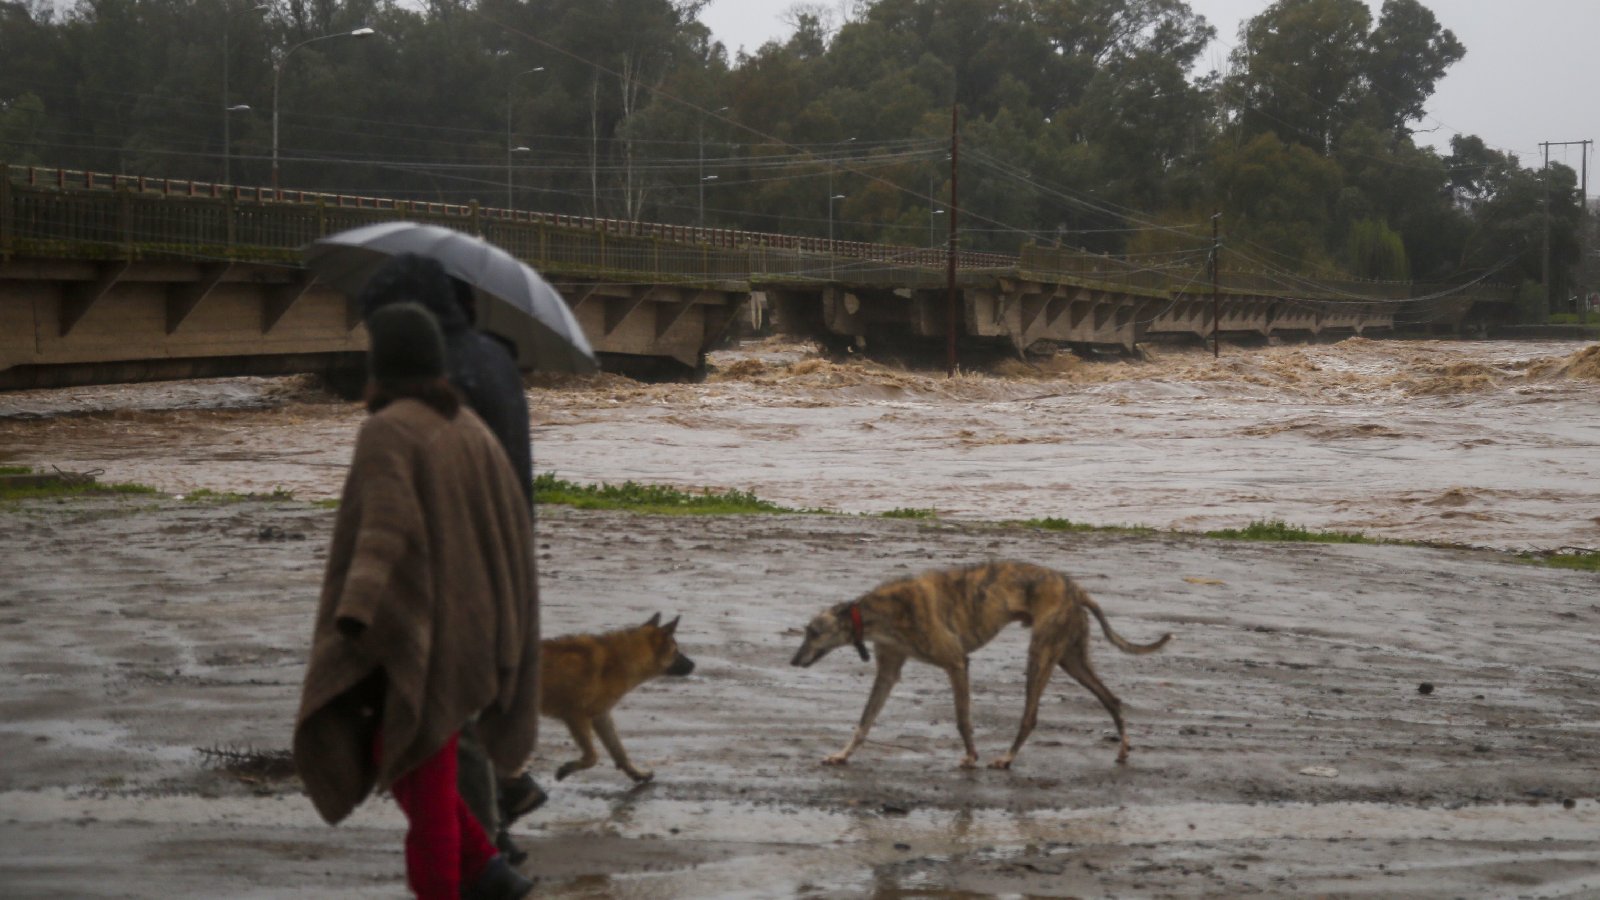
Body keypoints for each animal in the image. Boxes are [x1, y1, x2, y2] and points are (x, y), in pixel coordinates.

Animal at [540, 611, 691, 781]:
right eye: (676, 652)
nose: (693, 665)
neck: (620, 659)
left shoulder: (601, 716)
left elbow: (619, 751)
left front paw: (637, 773)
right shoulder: (576, 717)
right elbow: (593, 757)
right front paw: (567, 768)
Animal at [793, 560, 1171, 762]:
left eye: (813, 632)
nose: (794, 660)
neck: (877, 612)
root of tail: (1076, 589)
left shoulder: (957, 663)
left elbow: (963, 720)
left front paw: (972, 757)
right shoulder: (889, 670)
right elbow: (865, 720)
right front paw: (842, 755)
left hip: (1041, 654)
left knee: (1030, 716)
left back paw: (1006, 758)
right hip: (1070, 658)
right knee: (1112, 699)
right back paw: (1122, 750)